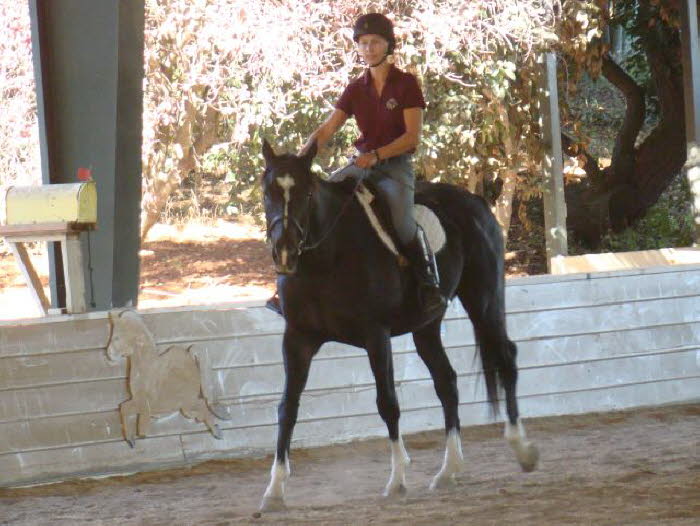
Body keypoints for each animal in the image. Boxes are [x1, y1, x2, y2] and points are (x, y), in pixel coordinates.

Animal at [260, 139, 540, 512]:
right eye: (268, 192)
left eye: (306, 193)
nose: (285, 252)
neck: (326, 258)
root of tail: (476, 202)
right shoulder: (298, 338)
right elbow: (287, 408)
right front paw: (274, 490)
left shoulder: (376, 336)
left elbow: (387, 403)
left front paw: (396, 480)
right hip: (426, 327)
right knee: (447, 382)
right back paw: (448, 470)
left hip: (484, 300)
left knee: (506, 358)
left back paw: (522, 449)